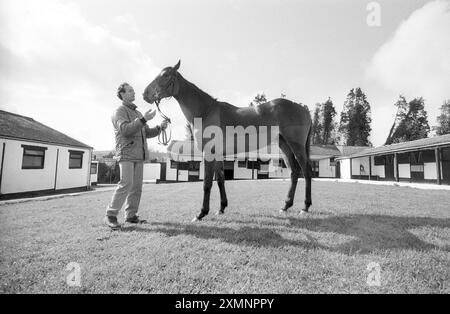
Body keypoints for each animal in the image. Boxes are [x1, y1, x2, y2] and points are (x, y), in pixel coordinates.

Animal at [144, 59, 312, 221]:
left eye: (166, 75)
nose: (145, 94)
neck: (205, 111)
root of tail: (303, 109)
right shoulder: (218, 155)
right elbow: (220, 180)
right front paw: (221, 208)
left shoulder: (208, 154)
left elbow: (206, 184)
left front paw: (201, 213)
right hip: (284, 146)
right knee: (294, 172)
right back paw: (286, 206)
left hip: (296, 146)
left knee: (306, 171)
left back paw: (305, 208)